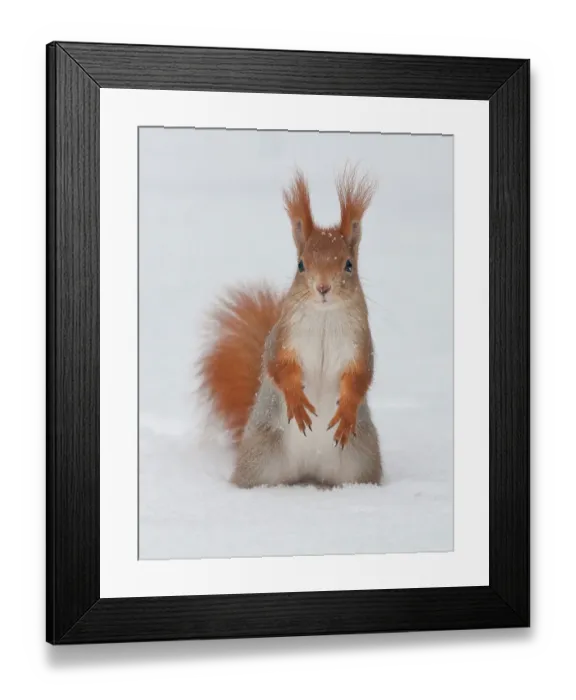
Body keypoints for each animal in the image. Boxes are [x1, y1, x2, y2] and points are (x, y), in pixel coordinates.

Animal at [197, 166, 383, 489]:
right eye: (301, 265)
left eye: (348, 264)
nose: (323, 288)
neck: (323, 316)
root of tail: (308, 472)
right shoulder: (283, 337)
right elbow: (278, 365)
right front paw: (297, 401)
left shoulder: (360, 344)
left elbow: (361, 375)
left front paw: (347, 410)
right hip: (261, 455)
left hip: (361, 458)